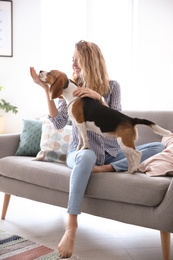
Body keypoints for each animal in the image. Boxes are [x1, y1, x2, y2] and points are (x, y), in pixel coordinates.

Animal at [38, 70, 172, 174]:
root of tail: (130, 119)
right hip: (124, 144)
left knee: (138, 154)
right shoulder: (78, 126)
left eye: (50, 72)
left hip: (125, 143)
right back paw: (129, 171)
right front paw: (78, 149)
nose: (40, 71)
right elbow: (80, 140)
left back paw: (135, 169)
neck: (73, 95)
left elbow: (85, 139)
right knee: (130, 158)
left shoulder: (81, 124)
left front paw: (84, 148)